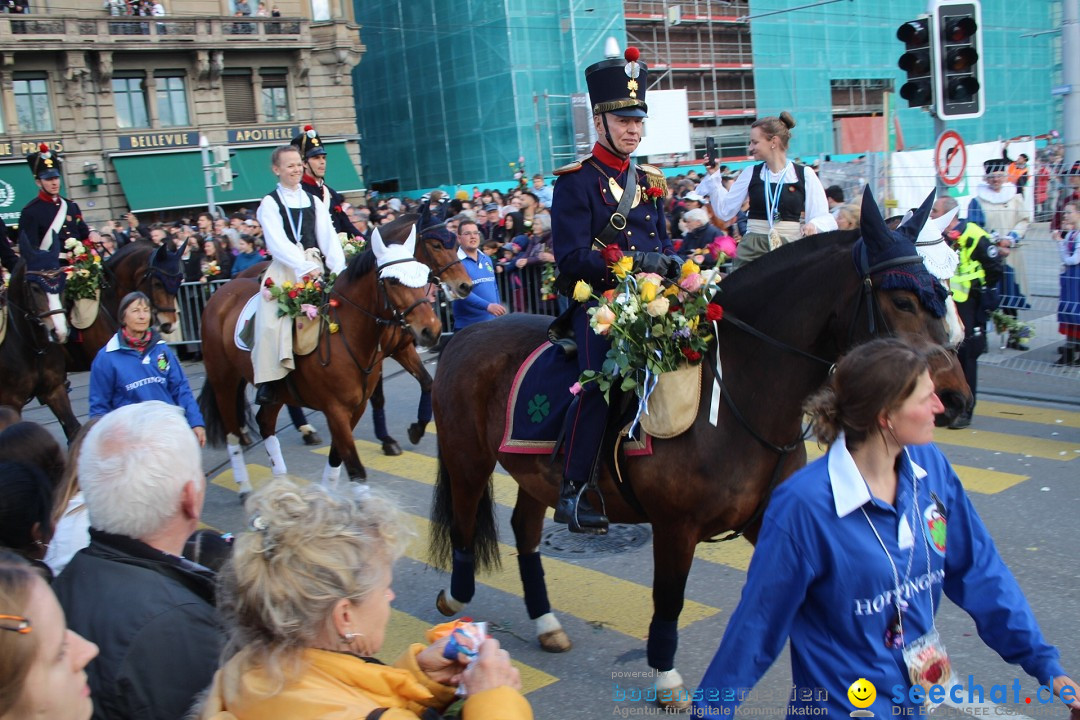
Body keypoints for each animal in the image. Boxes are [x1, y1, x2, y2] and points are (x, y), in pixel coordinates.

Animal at [0, 259, 81, 440]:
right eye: (35, 288)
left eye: (63, 284)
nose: (59, 332)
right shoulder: (10, 403)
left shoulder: (54, 389)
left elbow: (74, 428)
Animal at [196, 216, 444, 492]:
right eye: (392, 281)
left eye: (423, 275)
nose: (432, 330)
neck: (346, 334)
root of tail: (222, 292)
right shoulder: (335, 410)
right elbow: (356, 470)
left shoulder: (356, 406)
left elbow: (337, 457)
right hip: (224, 382)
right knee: (233, 434)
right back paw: (246, 487)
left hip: (275, 391)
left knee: (265, 422)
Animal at [232, 211, 473, 453]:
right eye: (436, 245)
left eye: (455, 242)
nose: (465, 285)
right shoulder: (375, 355)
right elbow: (378, 397)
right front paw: (387, 440)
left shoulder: (400, 348)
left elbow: (426, 382)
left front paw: (417, 428)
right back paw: (301, 427)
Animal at [425, 193, 976, 708]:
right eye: (902, 301)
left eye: (943, 291)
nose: (953, 400)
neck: (740, 396)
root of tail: (465, 333)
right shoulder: (676, 527)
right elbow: (669, 600)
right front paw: (667, 678)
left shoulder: (762, 518)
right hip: (468, 460)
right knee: (465, 522)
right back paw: (455, 596)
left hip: (536, 473)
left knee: (525, 530)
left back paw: (545, 623)